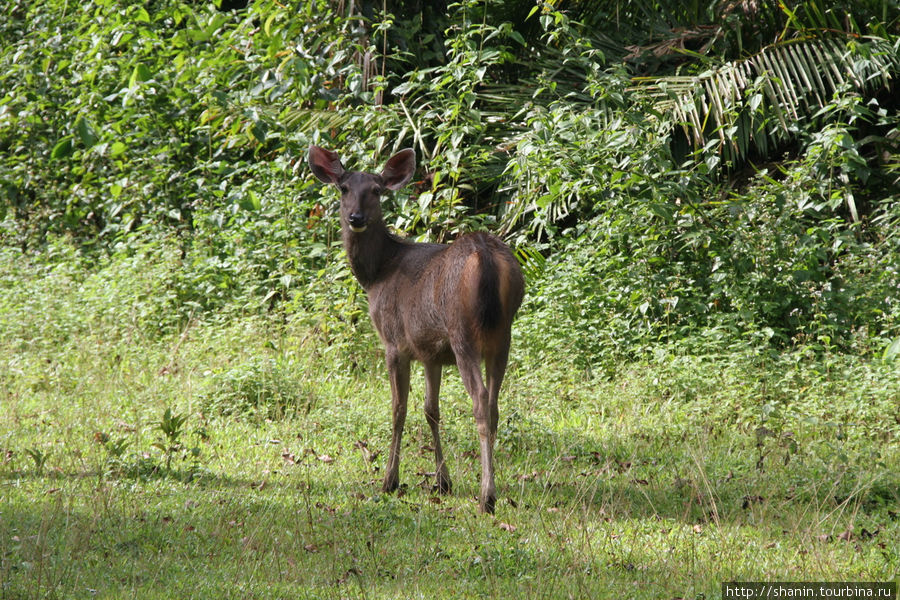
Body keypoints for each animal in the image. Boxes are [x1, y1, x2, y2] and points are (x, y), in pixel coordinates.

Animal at [310, 144, 524, 510]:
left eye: (376, 191)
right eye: (344, 188)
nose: (356, 218)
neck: (376, 274)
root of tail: (484, 253)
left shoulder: (394, 342)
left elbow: (399, 409)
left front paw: (390, 480)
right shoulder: (430, 352)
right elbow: (431, 410)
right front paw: (443, 480)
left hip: (463, 332)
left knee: (481, 401)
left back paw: (487, 496)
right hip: (502, 336)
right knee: (495, 404)